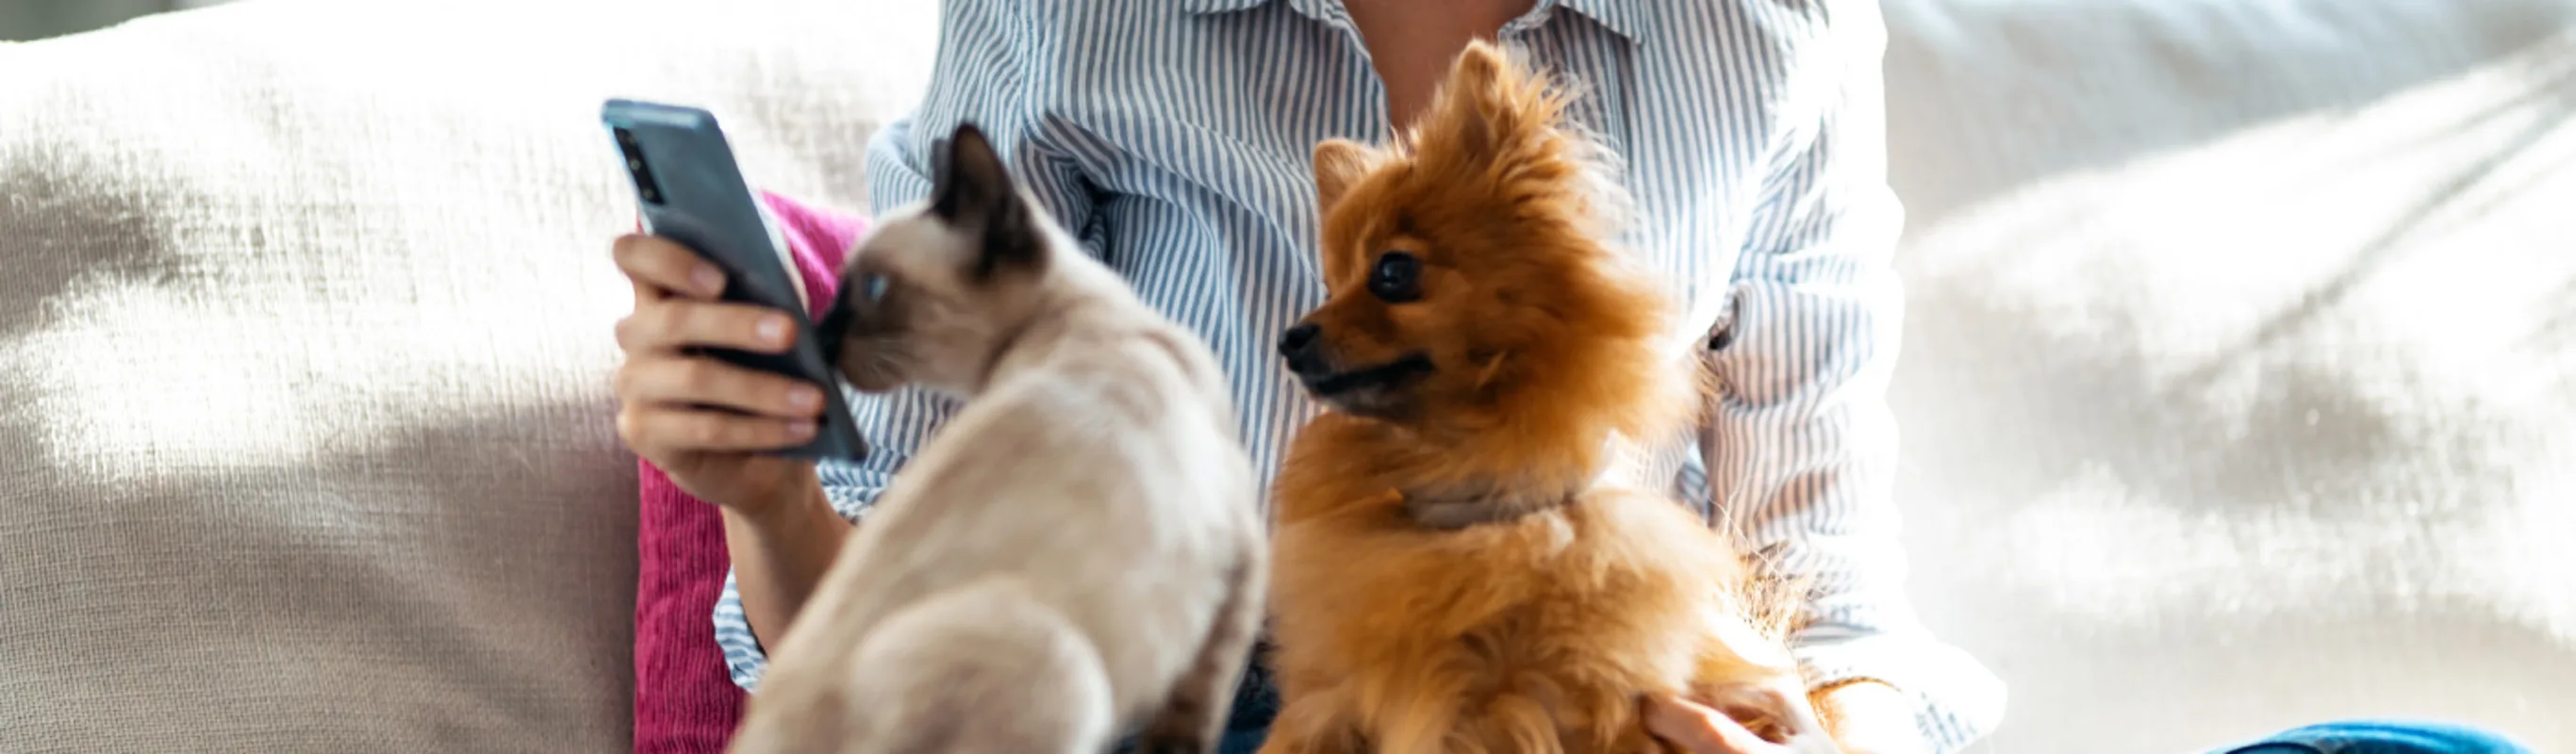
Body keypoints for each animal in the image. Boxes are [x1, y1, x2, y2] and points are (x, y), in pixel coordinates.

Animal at [1257, 42, 1824, 751]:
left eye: (1393, 270)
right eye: (1329, 287)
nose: (1290, 336)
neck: (1473, 504)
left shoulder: (1530, 708)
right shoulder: (1336, 700)